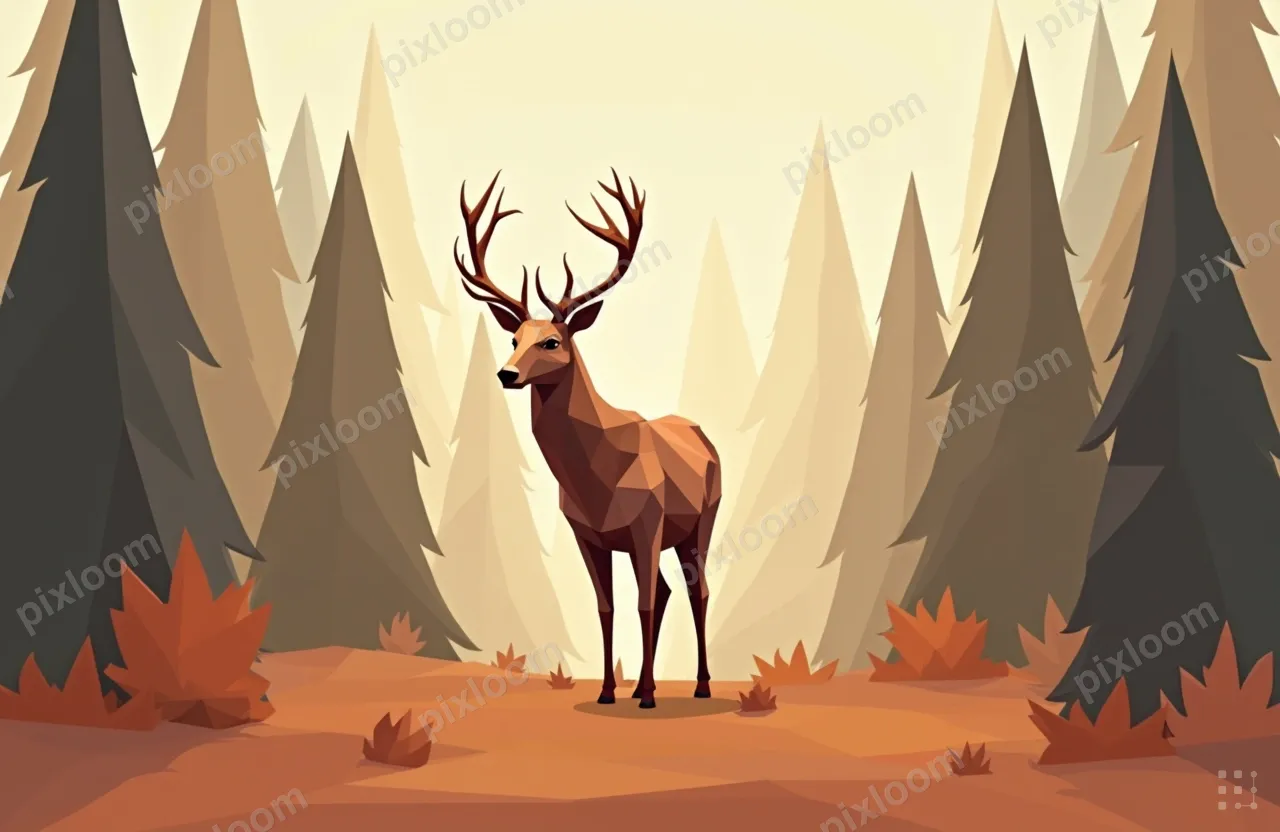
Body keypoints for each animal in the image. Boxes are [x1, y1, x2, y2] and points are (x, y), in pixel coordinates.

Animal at [453, 170, 720, 709]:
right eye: (514, 339)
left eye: (552, 341)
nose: (507, 374)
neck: (598, 478)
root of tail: (705, 438)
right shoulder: (587, 534)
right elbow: (606, 609)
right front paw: (607, 691)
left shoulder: (647, 524)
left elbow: (641, 604)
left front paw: (646, 696)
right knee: (667, 591)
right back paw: (644, 683)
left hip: (702, 520)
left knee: (695, 591)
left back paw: (699, 685)